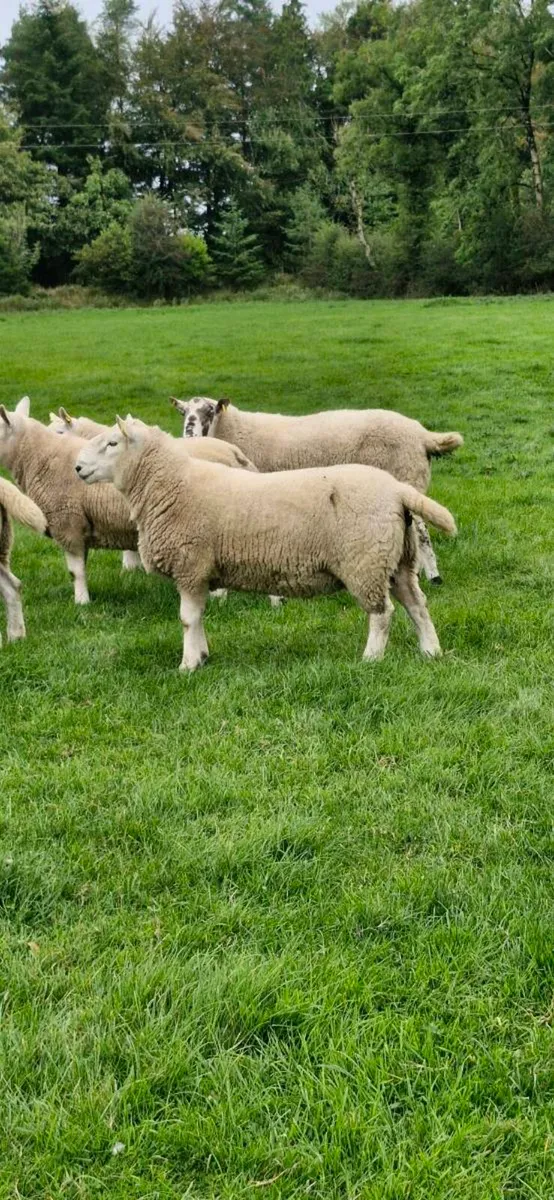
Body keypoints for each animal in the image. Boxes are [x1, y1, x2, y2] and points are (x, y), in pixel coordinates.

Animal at [75, 417, 456, 671]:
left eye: (112, 444)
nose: (77, 467)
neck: (170, 485)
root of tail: (397, 490)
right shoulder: (200, 572)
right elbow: (198, 617)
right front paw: (202, 656)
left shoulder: (190, 565)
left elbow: (187, 619)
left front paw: (188, 664)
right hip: (398, 559)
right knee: (417, 605)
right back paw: (431, 651)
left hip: (366, 560)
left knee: (382, 613)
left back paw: (371, 659)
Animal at [171, 396, 463, 585]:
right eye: (184, 412)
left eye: (210, 410)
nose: (189, 435)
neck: (233, 430)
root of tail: (423, 435)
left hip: (406, 476)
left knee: (423, 530)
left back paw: (434, 576)